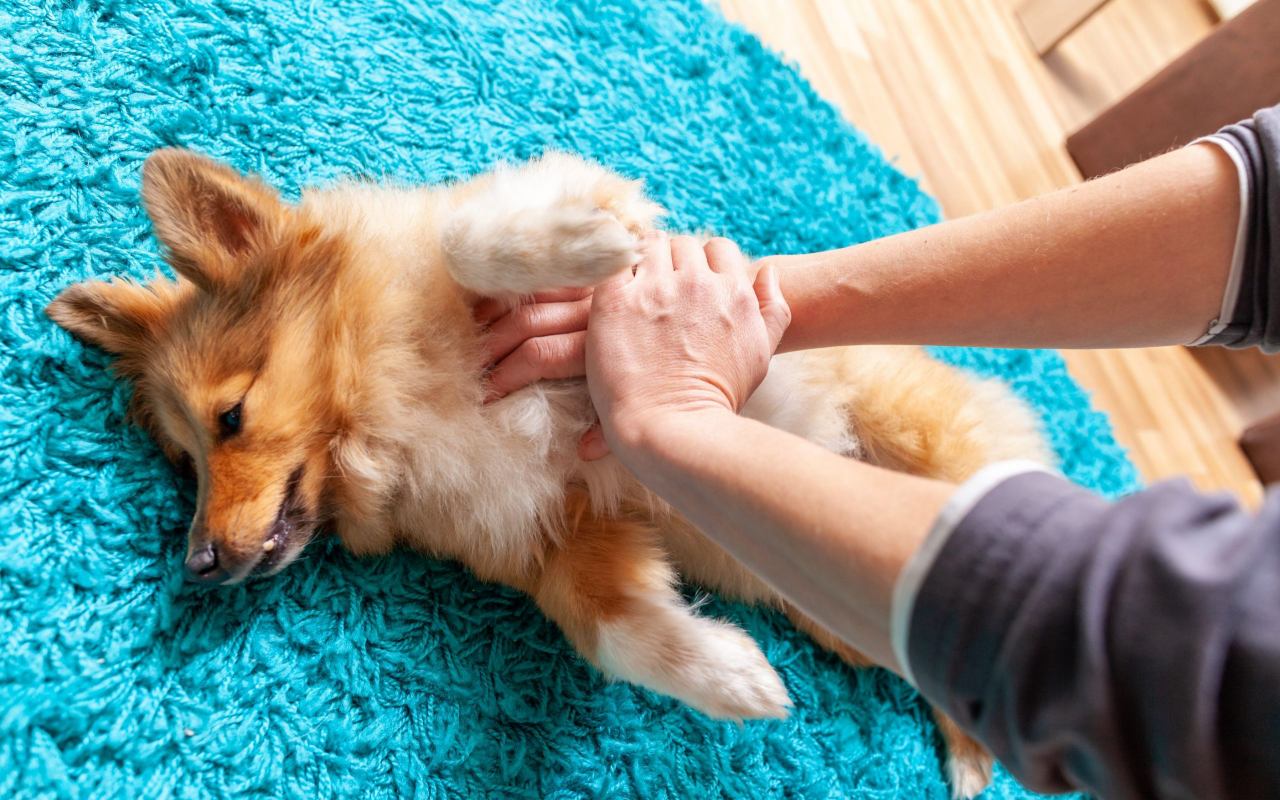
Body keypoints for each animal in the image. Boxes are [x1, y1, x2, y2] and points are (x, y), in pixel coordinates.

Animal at [47, 148, 1049, 793]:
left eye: (231, 418)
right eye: (184, 462)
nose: (197, 564)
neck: (386, 406)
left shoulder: (574, 218)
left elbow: (471, 235)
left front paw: (585, 242)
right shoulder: (567, 535)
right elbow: (615, 631)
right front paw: (734, 677)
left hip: (921, 443)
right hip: (861, 605)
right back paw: (972, 753)